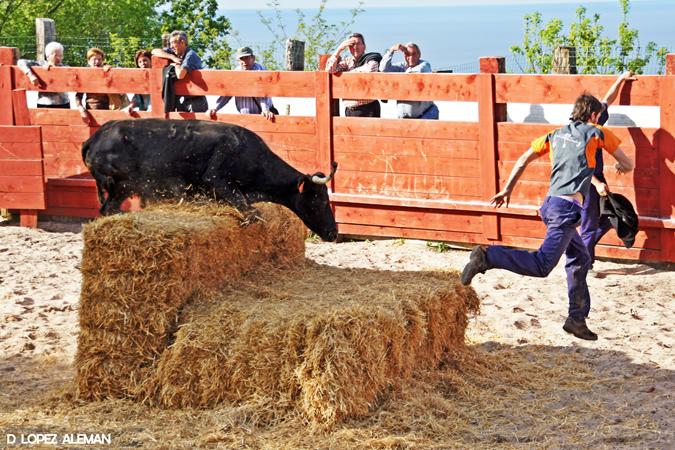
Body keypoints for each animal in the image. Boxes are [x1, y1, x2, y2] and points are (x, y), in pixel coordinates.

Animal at [82, 118, 340, 241]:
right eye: (319, 200)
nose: (333, 233)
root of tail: (95, 137)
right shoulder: (217, 180)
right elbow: (252, 213)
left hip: (122, 188)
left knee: (108, 209)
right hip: (121, 184)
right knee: (107, 208)